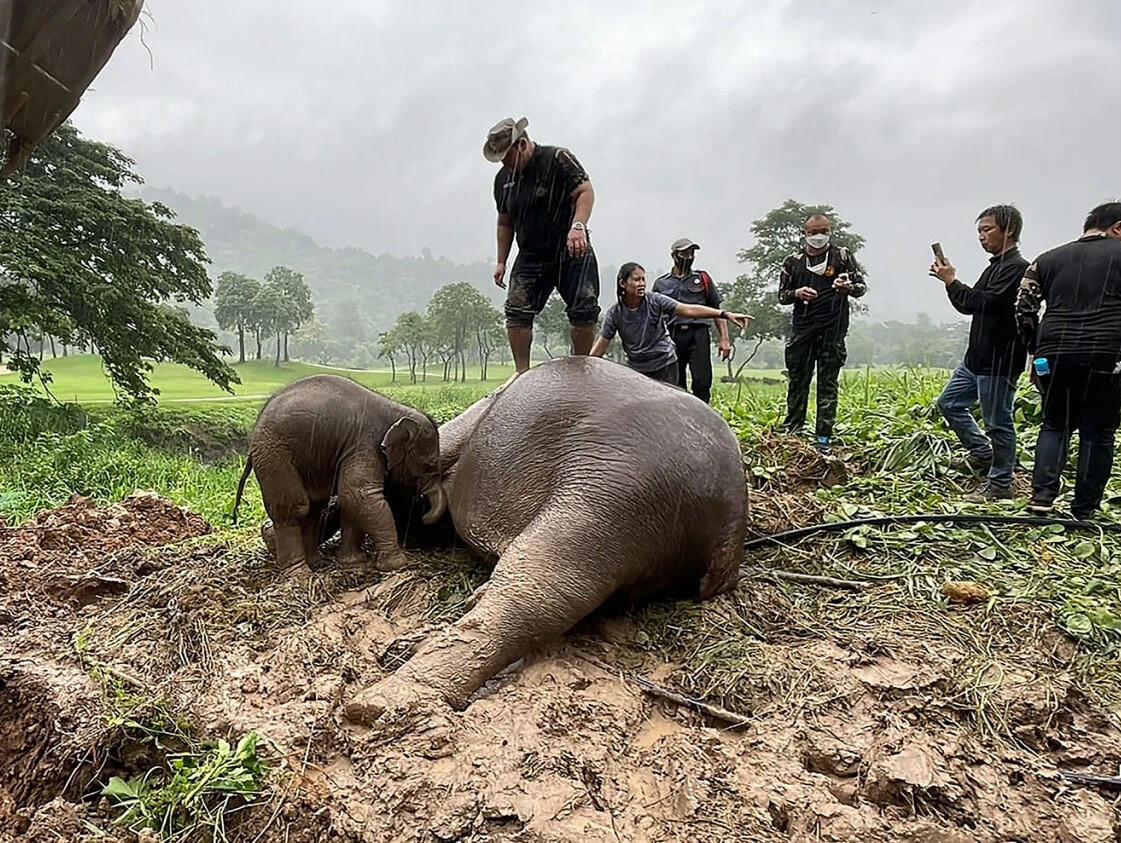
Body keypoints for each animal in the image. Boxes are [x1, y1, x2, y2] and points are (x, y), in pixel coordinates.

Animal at [232, 374, 446, 573]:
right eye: (429, 465)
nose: (424, 516)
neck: (397, 410)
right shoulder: (365, 443)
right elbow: (358, 494)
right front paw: (398, 564)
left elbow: (350, 501)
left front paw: (354, 564)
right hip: (274, 454)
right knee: (294, 507)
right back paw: (300, 575)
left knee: (314, 506)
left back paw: (315, 563)